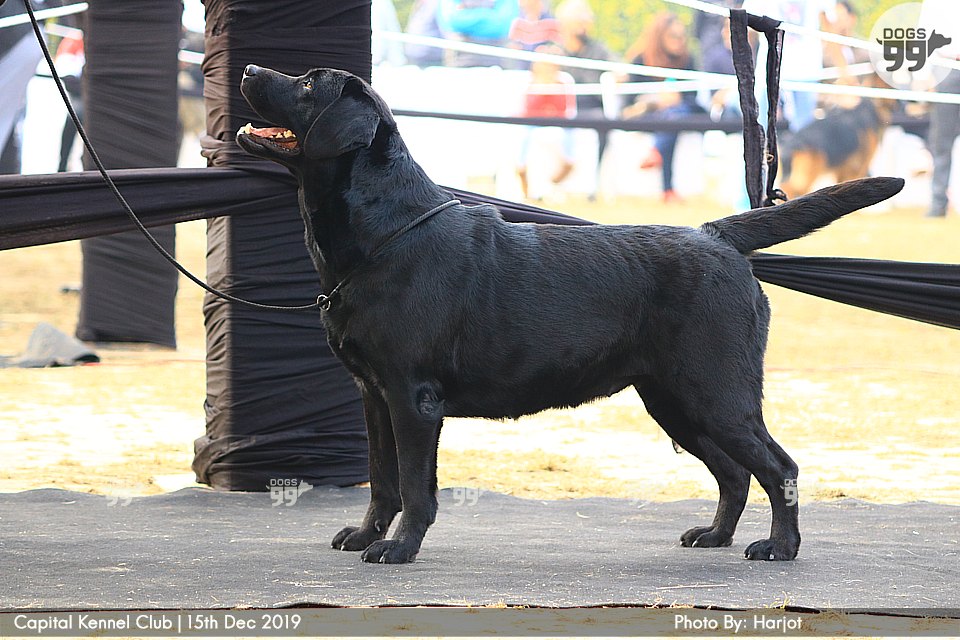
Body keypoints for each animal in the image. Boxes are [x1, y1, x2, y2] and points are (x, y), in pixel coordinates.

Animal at [236, 65, 903, 564]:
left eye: (306, 85)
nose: (248, 70)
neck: (386, 235)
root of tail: (716, 237)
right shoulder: (373, 394)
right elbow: (381, 480)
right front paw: (364, 536)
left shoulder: (413, 396)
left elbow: (415, 488)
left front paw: (397, 550)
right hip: (673, 399)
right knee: (734, 473)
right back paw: (714, 536)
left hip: (717, 392)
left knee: (777, 465)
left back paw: (780, 547)